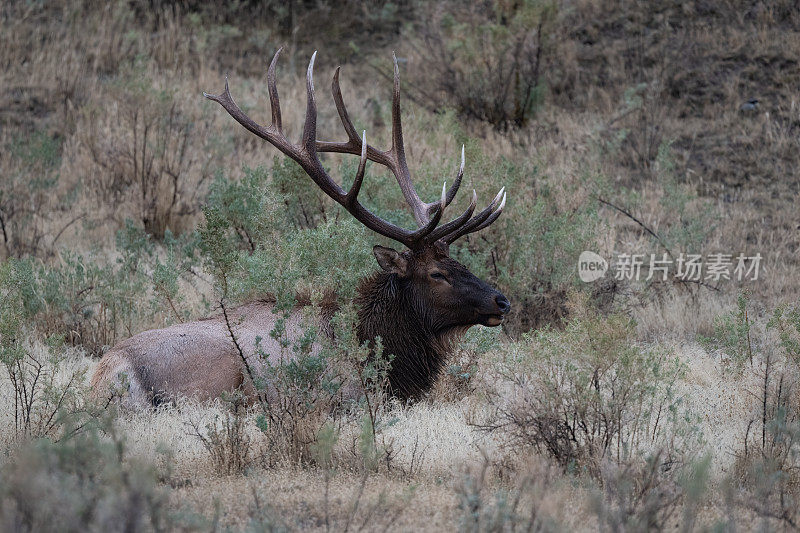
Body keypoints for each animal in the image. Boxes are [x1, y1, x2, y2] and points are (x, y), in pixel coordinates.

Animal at [90, 51, 510, 408]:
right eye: (437, 274)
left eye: (461, 264)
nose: (501, 301)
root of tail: (104, 374)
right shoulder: (349, 396)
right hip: (222, 372)